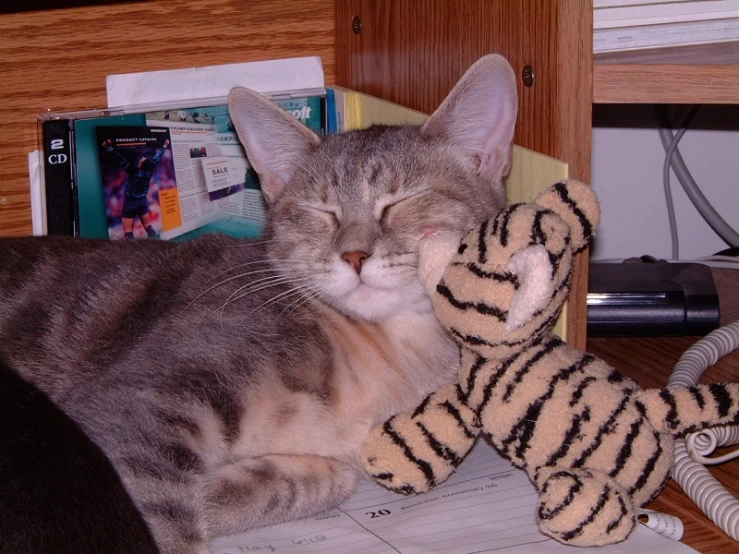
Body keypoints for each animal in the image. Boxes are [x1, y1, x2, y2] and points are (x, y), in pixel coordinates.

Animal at [0, 52, 516, 552]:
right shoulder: (132, 406)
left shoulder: (337, 461)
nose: (354, 255)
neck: (385, 354)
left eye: (402, 201)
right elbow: (163, 513)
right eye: (320, 212)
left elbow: (311, 482)